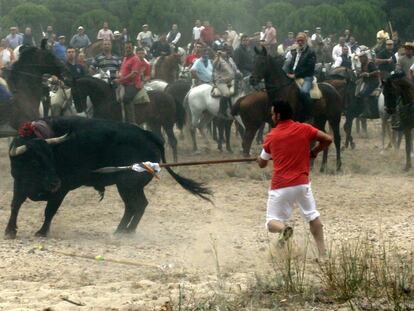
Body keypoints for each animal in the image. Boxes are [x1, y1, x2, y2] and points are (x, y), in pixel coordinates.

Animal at [5, 117, 213, 239]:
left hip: (128, 185)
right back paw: (122, 230)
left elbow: (49, 211)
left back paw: (125, 232)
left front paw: (41, 232)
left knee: (137, 205)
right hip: (130, 186)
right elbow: (15, 205)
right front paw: (10, 231)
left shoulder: (61, 191)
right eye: (34, 162)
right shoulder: (19, 184)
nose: (54, 182)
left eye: (51, 157)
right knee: (134, 205)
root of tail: (148, 135)